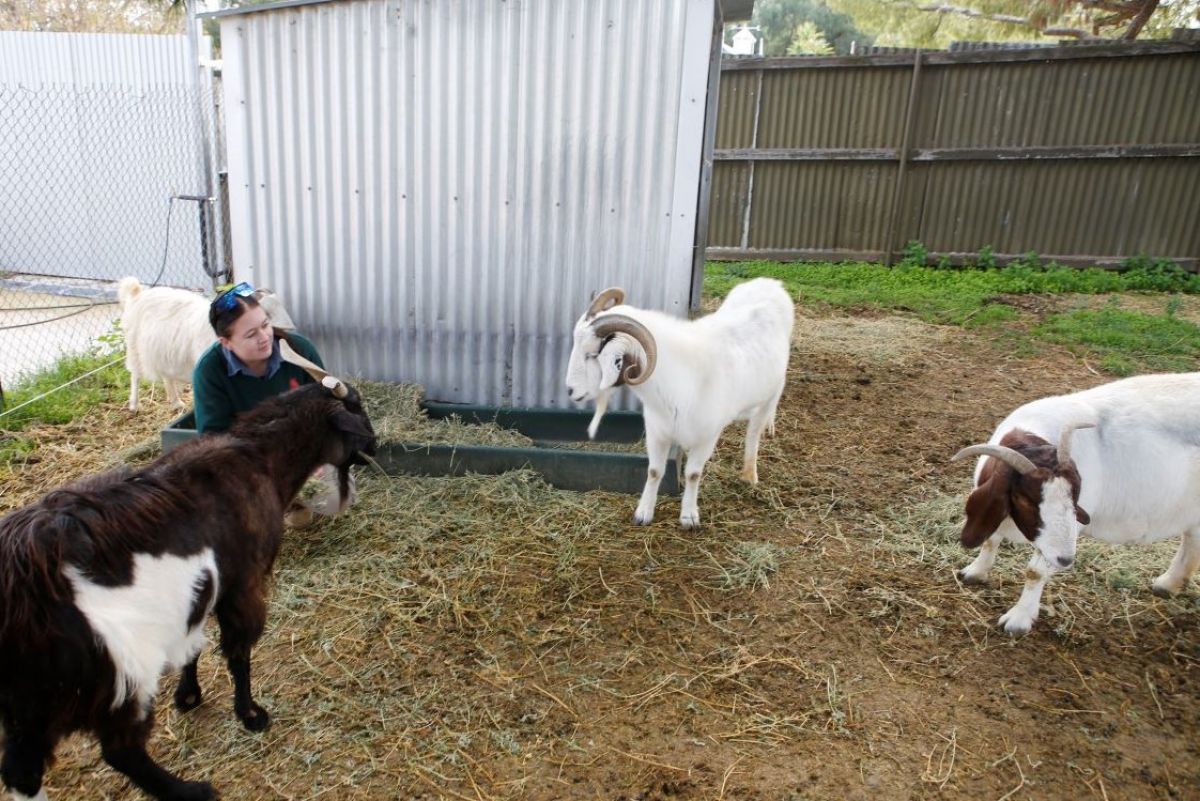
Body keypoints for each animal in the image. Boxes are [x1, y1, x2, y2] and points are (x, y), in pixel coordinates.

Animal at [0, 376, 374, 801]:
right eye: (357, 409)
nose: (376, 446)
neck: (259, 460)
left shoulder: (195, 595)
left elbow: (192, 647)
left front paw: (188, 695)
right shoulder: (244, 586)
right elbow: (237, 652)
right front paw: (250, 714)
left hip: (29, 702)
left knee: (21, 770)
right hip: (118, 678)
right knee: (120, 749)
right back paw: (191, 790)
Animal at [117, 276, 295, 412]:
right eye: (268, 313)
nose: (291, 330)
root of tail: (137, 295)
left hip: (162, 352)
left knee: (166, 376)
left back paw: (176, 403)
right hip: (135, 349)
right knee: (134, 375)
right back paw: (135, 405)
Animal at [564, 278, 792, 527]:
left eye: (592, 354)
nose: (570, 390)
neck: (679, 376)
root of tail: (769, 282)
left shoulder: (706, 437)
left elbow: (693, 474)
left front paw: (689, 516)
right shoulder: (657, 432)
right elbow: (654, 471)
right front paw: (643, 513)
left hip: (774, 388)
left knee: (754, 432)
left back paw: (750, 472)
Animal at [950, 371, 1200, 633]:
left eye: (1076, 494)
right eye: (1024, 499)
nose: (1066, 560)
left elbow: (1035, 572)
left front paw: (1018, 619)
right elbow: (991, 539)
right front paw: (974, 572)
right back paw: (1167, 584)